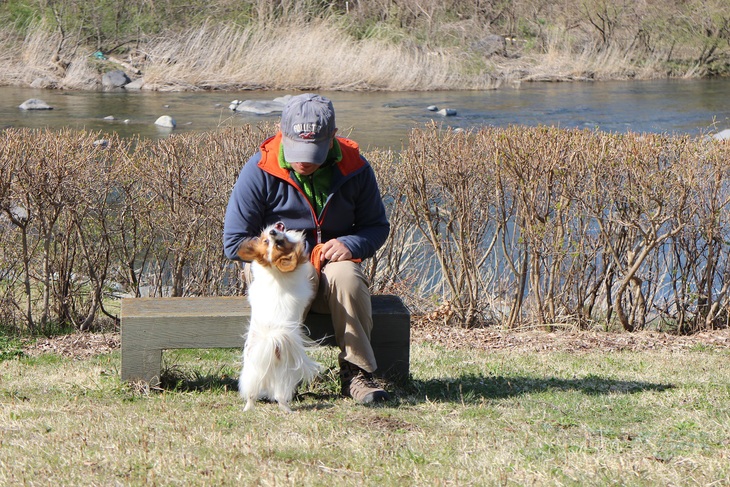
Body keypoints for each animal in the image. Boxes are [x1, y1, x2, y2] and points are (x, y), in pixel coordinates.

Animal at [235, 222, 320, 412]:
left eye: (278, 243)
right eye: (267, 241)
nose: (273, 231)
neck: (274, 271)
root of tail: (271, 341)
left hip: (252, 374)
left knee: (251, 395)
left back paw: (247, 408)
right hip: (285, 377)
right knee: (281, 397)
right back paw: (288, 410)